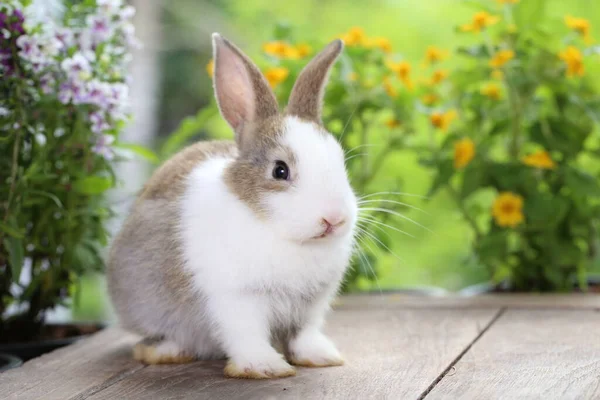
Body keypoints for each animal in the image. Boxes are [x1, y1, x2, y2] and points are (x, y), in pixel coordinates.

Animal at [106, 32, 358, 380]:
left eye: (340, 161)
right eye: (280, 171)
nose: (334, 219)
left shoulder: (309, 306)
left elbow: (302, 335)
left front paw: (321, 357)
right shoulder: (235, 300)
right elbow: (247, 335)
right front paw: (265, 367)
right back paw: (166, 351)